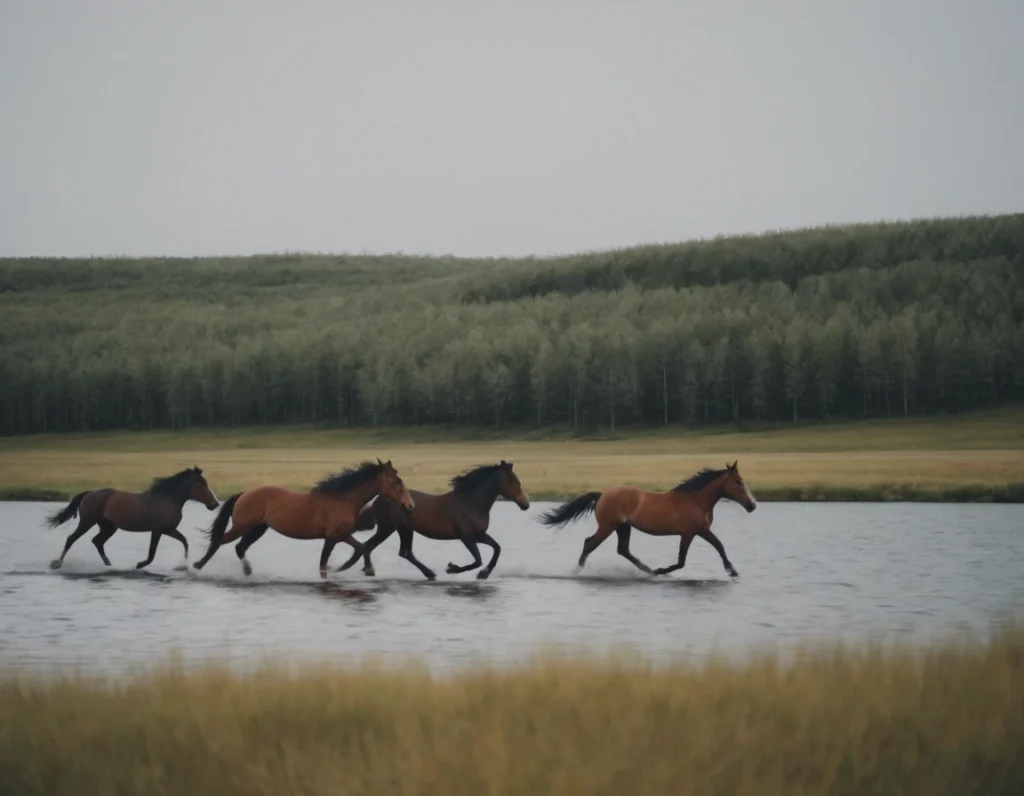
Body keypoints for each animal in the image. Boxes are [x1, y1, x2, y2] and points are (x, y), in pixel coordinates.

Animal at [46, 465, 220, 569]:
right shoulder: (157, 530)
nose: (215, 504)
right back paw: (57, 562)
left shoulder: (169, 530)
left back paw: (108, 563)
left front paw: (183, 565)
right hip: (88, 521)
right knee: (72, 538)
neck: (168, 499)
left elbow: (185, 541)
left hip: (109, 527)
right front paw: (139, 564)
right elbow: (151, 553)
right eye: (200, 485)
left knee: (97, 541)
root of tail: (89, 493)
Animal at [193, 458, 413, 577]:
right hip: (242, 525)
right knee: (219, 541)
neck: (342, 499)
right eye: (396, 481)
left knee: (240, 547)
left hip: (259, 527)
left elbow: (361, 548)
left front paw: (368, 569)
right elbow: (323, 563)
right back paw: (197, 566)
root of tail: (244, 494)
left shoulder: (341, 535)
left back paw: (247, 570)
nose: (409, 505)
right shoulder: (331, 538)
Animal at [350, 456, 528, 581]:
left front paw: (484, 574)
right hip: (387, 528)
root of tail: (378, 499)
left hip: (405, 529)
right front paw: (452, 568)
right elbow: (478, 560)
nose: (525, 505)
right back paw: (368, 570)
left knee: (405, 552)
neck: (471, 502)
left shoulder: (479, 535)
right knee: (368, 546)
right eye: (511, 479)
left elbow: (497, 548)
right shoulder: (467, 536)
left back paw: (429, 573)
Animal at [540, 458, 757, 577]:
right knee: (589, 544)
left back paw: (647, 569)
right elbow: (681, 561)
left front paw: (733, 571)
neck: (696, 499)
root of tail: (602, 495)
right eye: (738, 481)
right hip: (608, 526)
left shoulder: (701, 530)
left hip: (623, 527)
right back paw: (577, 571)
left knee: (623, 550)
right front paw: (661, 570)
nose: (752, 505)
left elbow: (719, 546)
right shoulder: (689, 533)